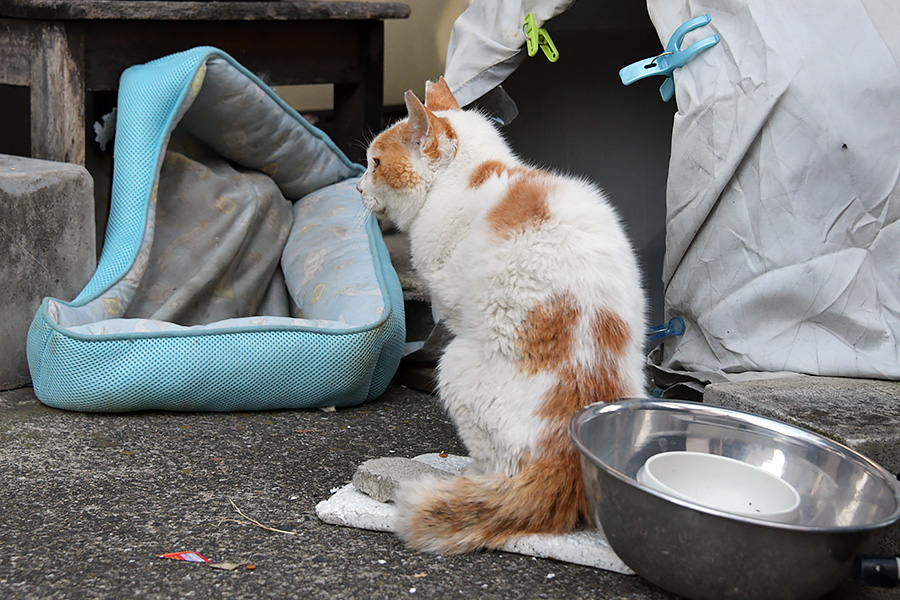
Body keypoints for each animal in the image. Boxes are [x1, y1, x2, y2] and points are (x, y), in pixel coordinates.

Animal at [356, 78, 644, 552]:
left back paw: (476, 475)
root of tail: (568, 461)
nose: (358, 188)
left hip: (454, 365)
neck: (474, 173)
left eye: (375, 164)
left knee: (500, 468)